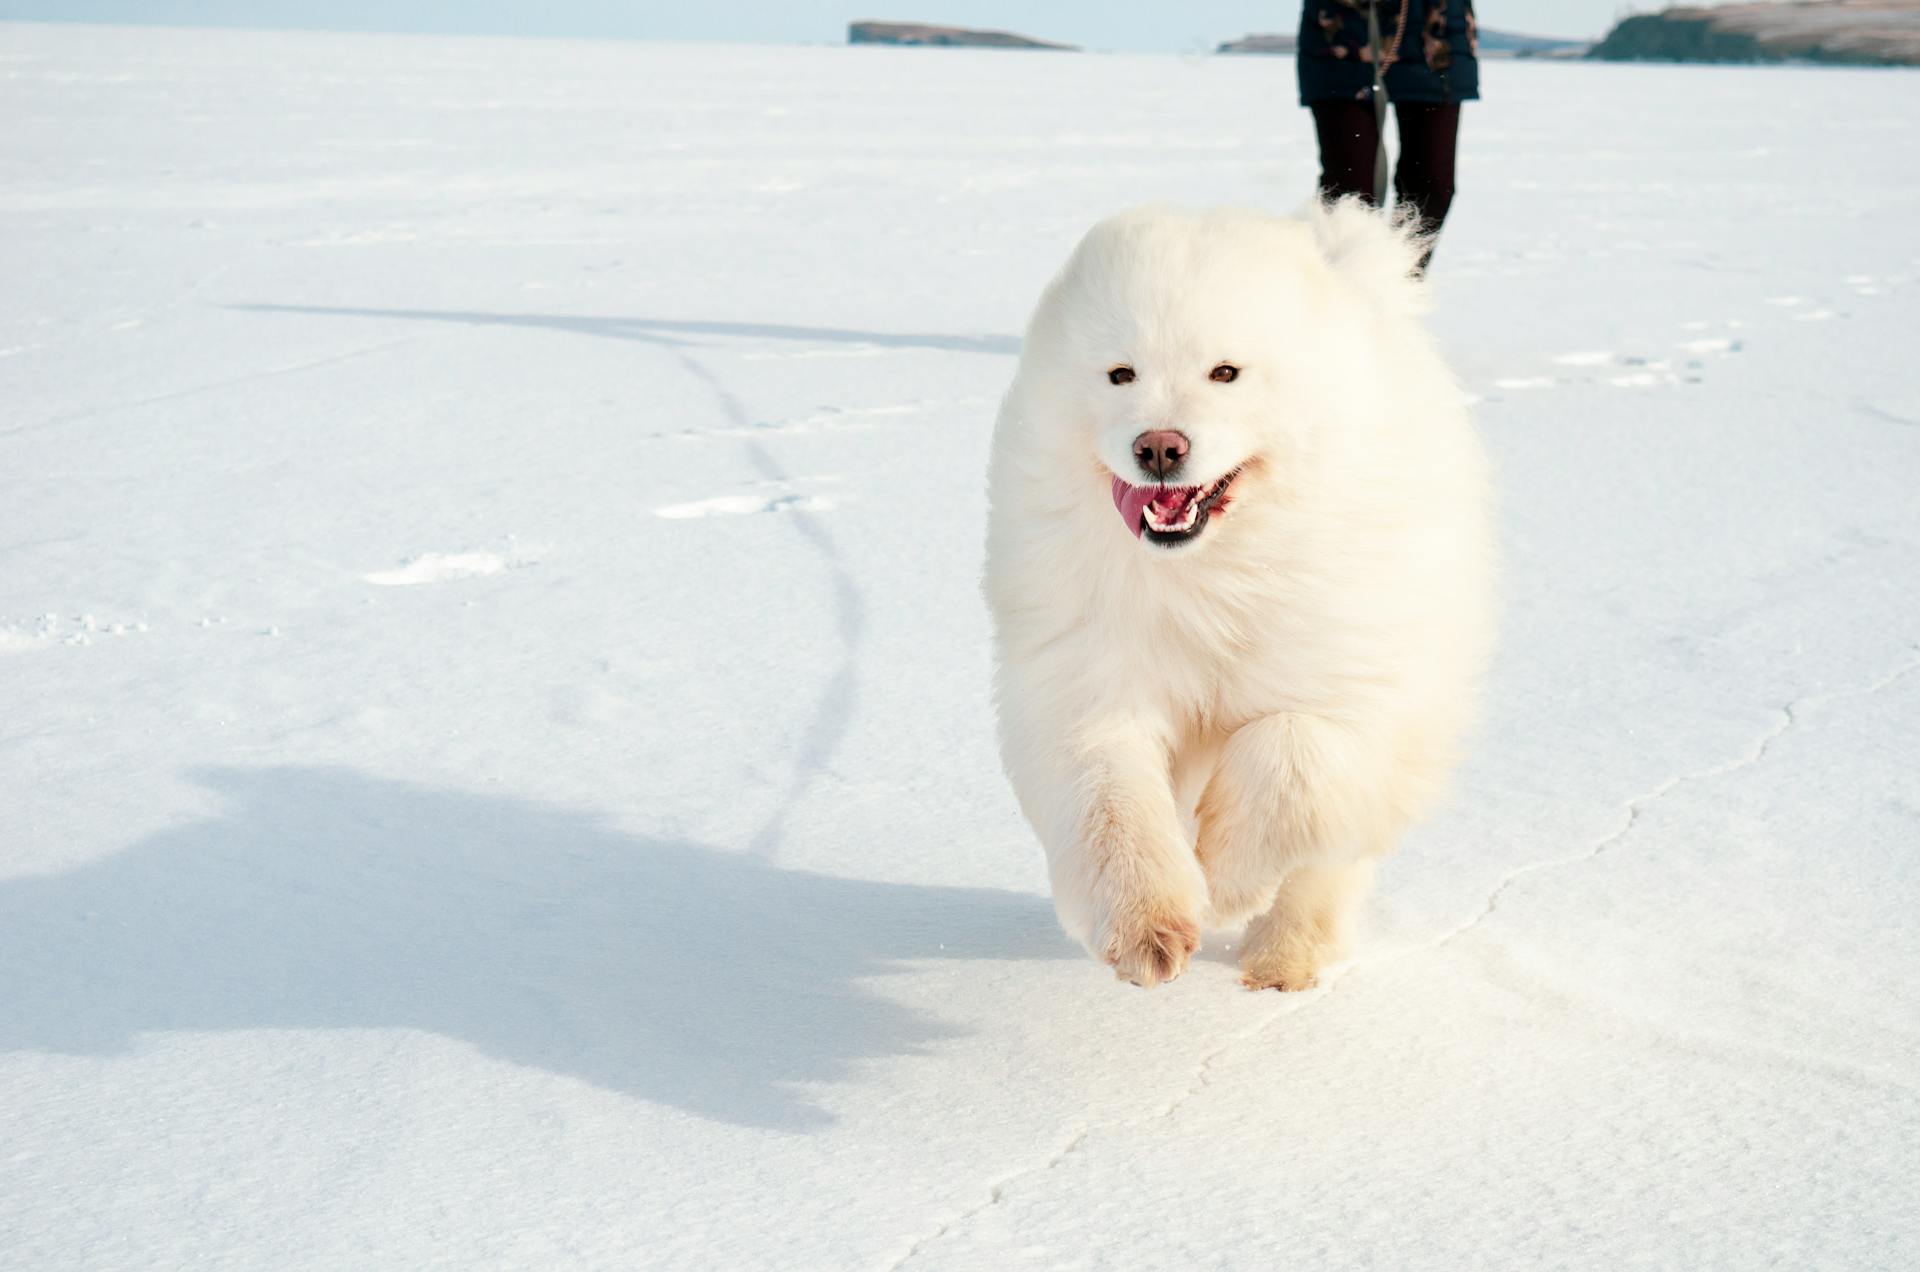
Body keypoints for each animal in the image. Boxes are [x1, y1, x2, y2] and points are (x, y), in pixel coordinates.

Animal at [983, 201, 1489, 999]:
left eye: (1226, 373)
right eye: (1121, 374)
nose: (1159, 446)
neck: (1212, 575)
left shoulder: (1351, 692)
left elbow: (1286, 758)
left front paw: (1223, 885)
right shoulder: (1089, 683)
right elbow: (1112, 804)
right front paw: (1149, 928)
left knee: (1325, 870)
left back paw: (1286, 960)